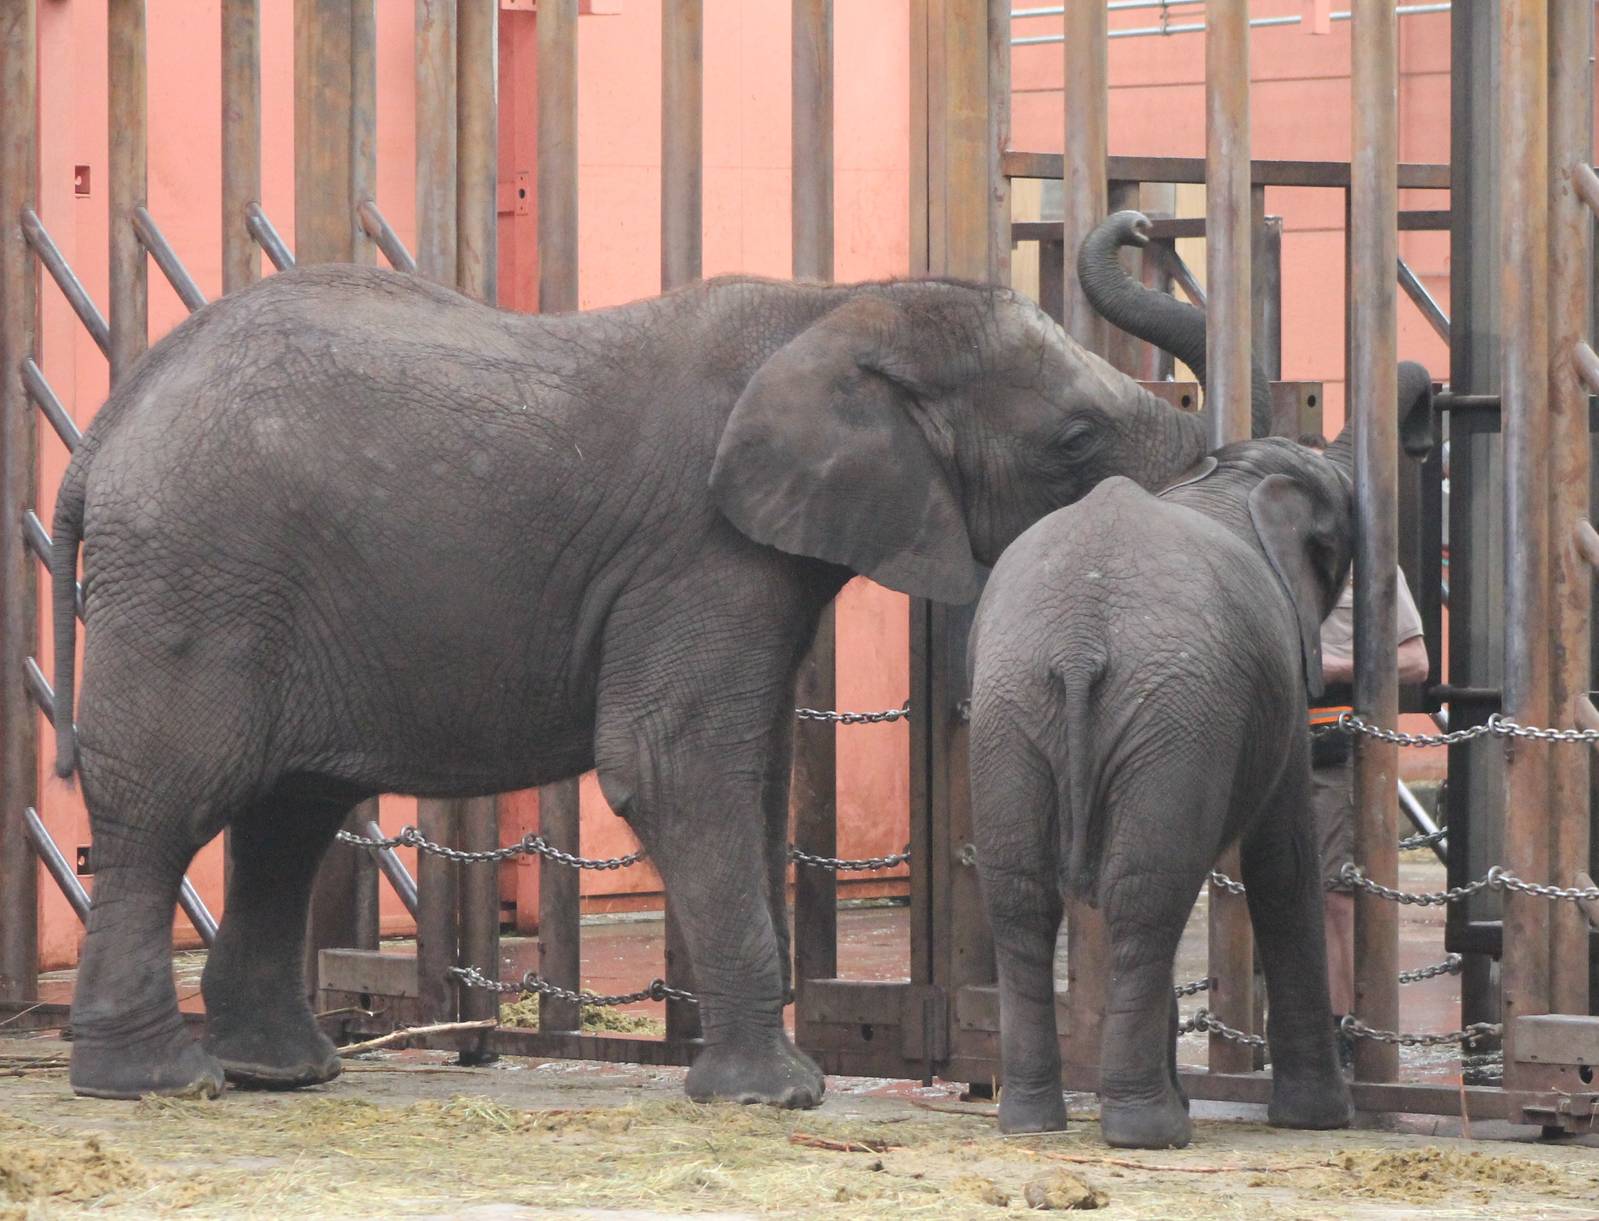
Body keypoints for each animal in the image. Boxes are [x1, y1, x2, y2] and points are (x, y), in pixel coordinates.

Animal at [50, 262, 1261, 1104]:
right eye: (1076, 438)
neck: (837, 305)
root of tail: (108, 425)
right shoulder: (701, 546)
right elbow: (675, 767)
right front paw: (776, 1098)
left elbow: (747, 773)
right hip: (197, 574)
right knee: (169, 803)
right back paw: (159, 1083)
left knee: (288, 810)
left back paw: (284, 1072)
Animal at [967, 434, 1359, 1148]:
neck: (1225, 479)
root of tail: (1078, 645)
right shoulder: (1284, 688)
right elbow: (1283, 860)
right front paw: (1322, 1120)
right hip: (1169, 711)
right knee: (1147, 898)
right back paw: (1149, 1132)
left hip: (1012, 707)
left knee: (1025, 898)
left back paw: (1033, 1123)